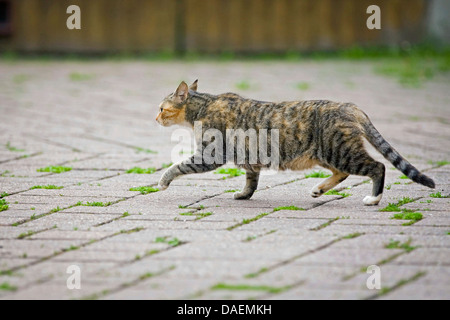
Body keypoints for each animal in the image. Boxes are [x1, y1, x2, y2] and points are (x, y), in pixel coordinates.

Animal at [156, 80, 436, 205]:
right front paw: (244, 195)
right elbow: (251, 181)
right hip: (327, 154)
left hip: (341, 151)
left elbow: (179, 166)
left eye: (161, 108)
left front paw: (163, 181)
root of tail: (349, 106)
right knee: (343, 173)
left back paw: (373, 199)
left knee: (378, 167)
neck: (204, 105)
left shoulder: (211, 154)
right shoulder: (250, 159)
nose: (155, 117)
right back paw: (319, 190)